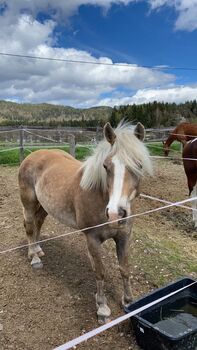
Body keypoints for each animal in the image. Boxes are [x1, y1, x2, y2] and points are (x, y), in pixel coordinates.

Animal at [18, 121, 152, 322]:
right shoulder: (93, 240)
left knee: (38, 223)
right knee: (29, 226)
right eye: (106, 166)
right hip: (28, 203)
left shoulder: (124, 237)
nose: (116, 214)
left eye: (139, 165)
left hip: (45, 206)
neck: (100, 196)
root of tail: (33, 154)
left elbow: (124, 269)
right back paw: (34, 257)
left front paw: (128, 301)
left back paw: (38, 249)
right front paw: (102, 308)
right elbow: (100, 272)